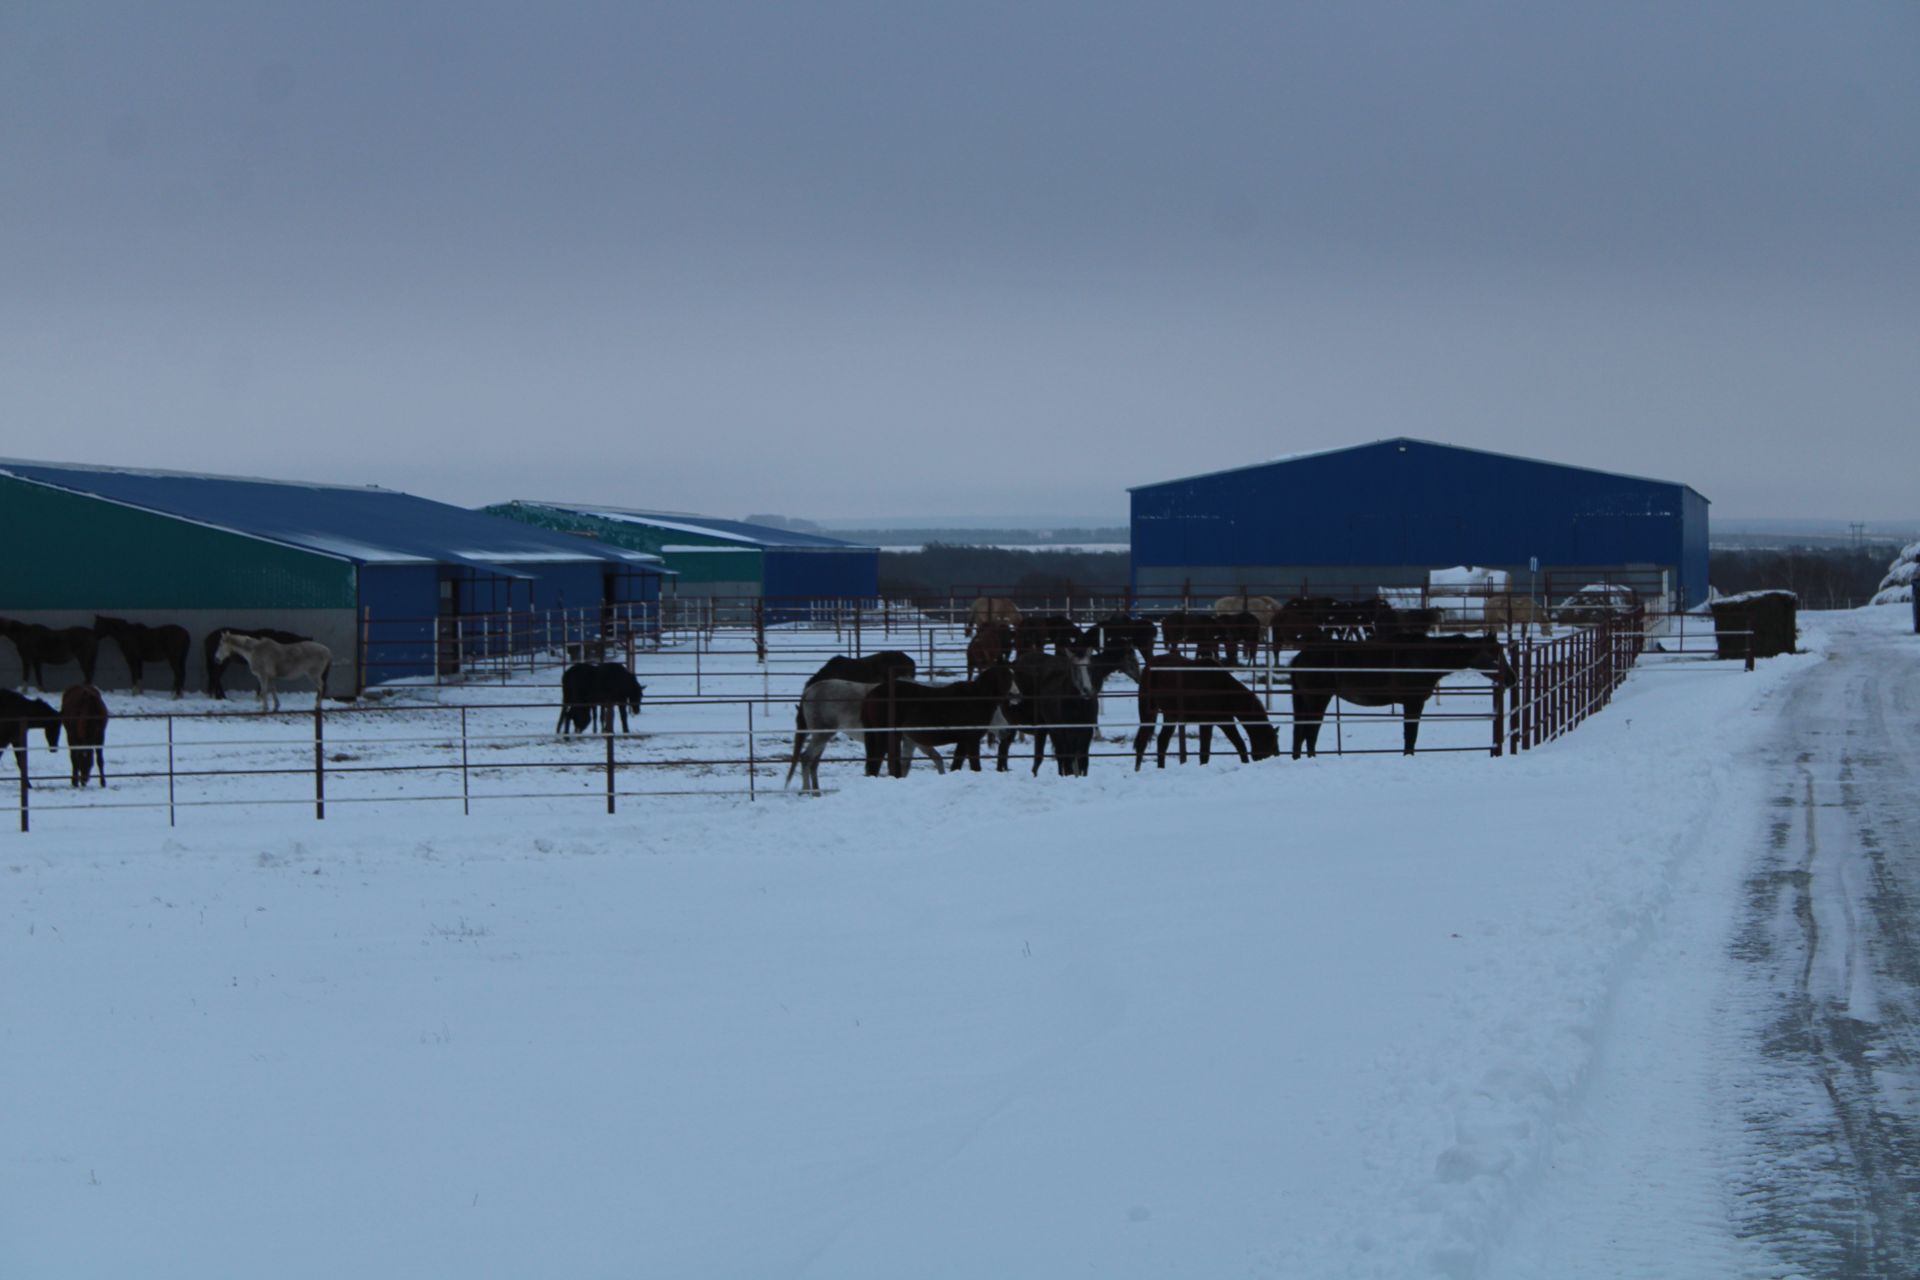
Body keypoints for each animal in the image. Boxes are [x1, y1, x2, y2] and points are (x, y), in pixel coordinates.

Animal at [1128, 656, 1282, 767]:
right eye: (1271, 744)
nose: (1277, 757)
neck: (1224, 691)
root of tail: (1148, 666)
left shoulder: (1225, 721)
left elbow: (1240, 745)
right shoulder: (1206, 722)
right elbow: (1204, 752)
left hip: (1170, 715)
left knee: (1162, 742)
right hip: (1148, 711)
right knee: (1142, 741)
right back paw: (1137, 770)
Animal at [1290, 633, 1512, 756]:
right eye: (1495, 655)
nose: (1512, 678)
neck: (1426, 658)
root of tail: (1301, 656)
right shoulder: (1413, 703)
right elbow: (1411, 735)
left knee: (1300, 734)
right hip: (1318, 700)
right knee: (1309, 733)